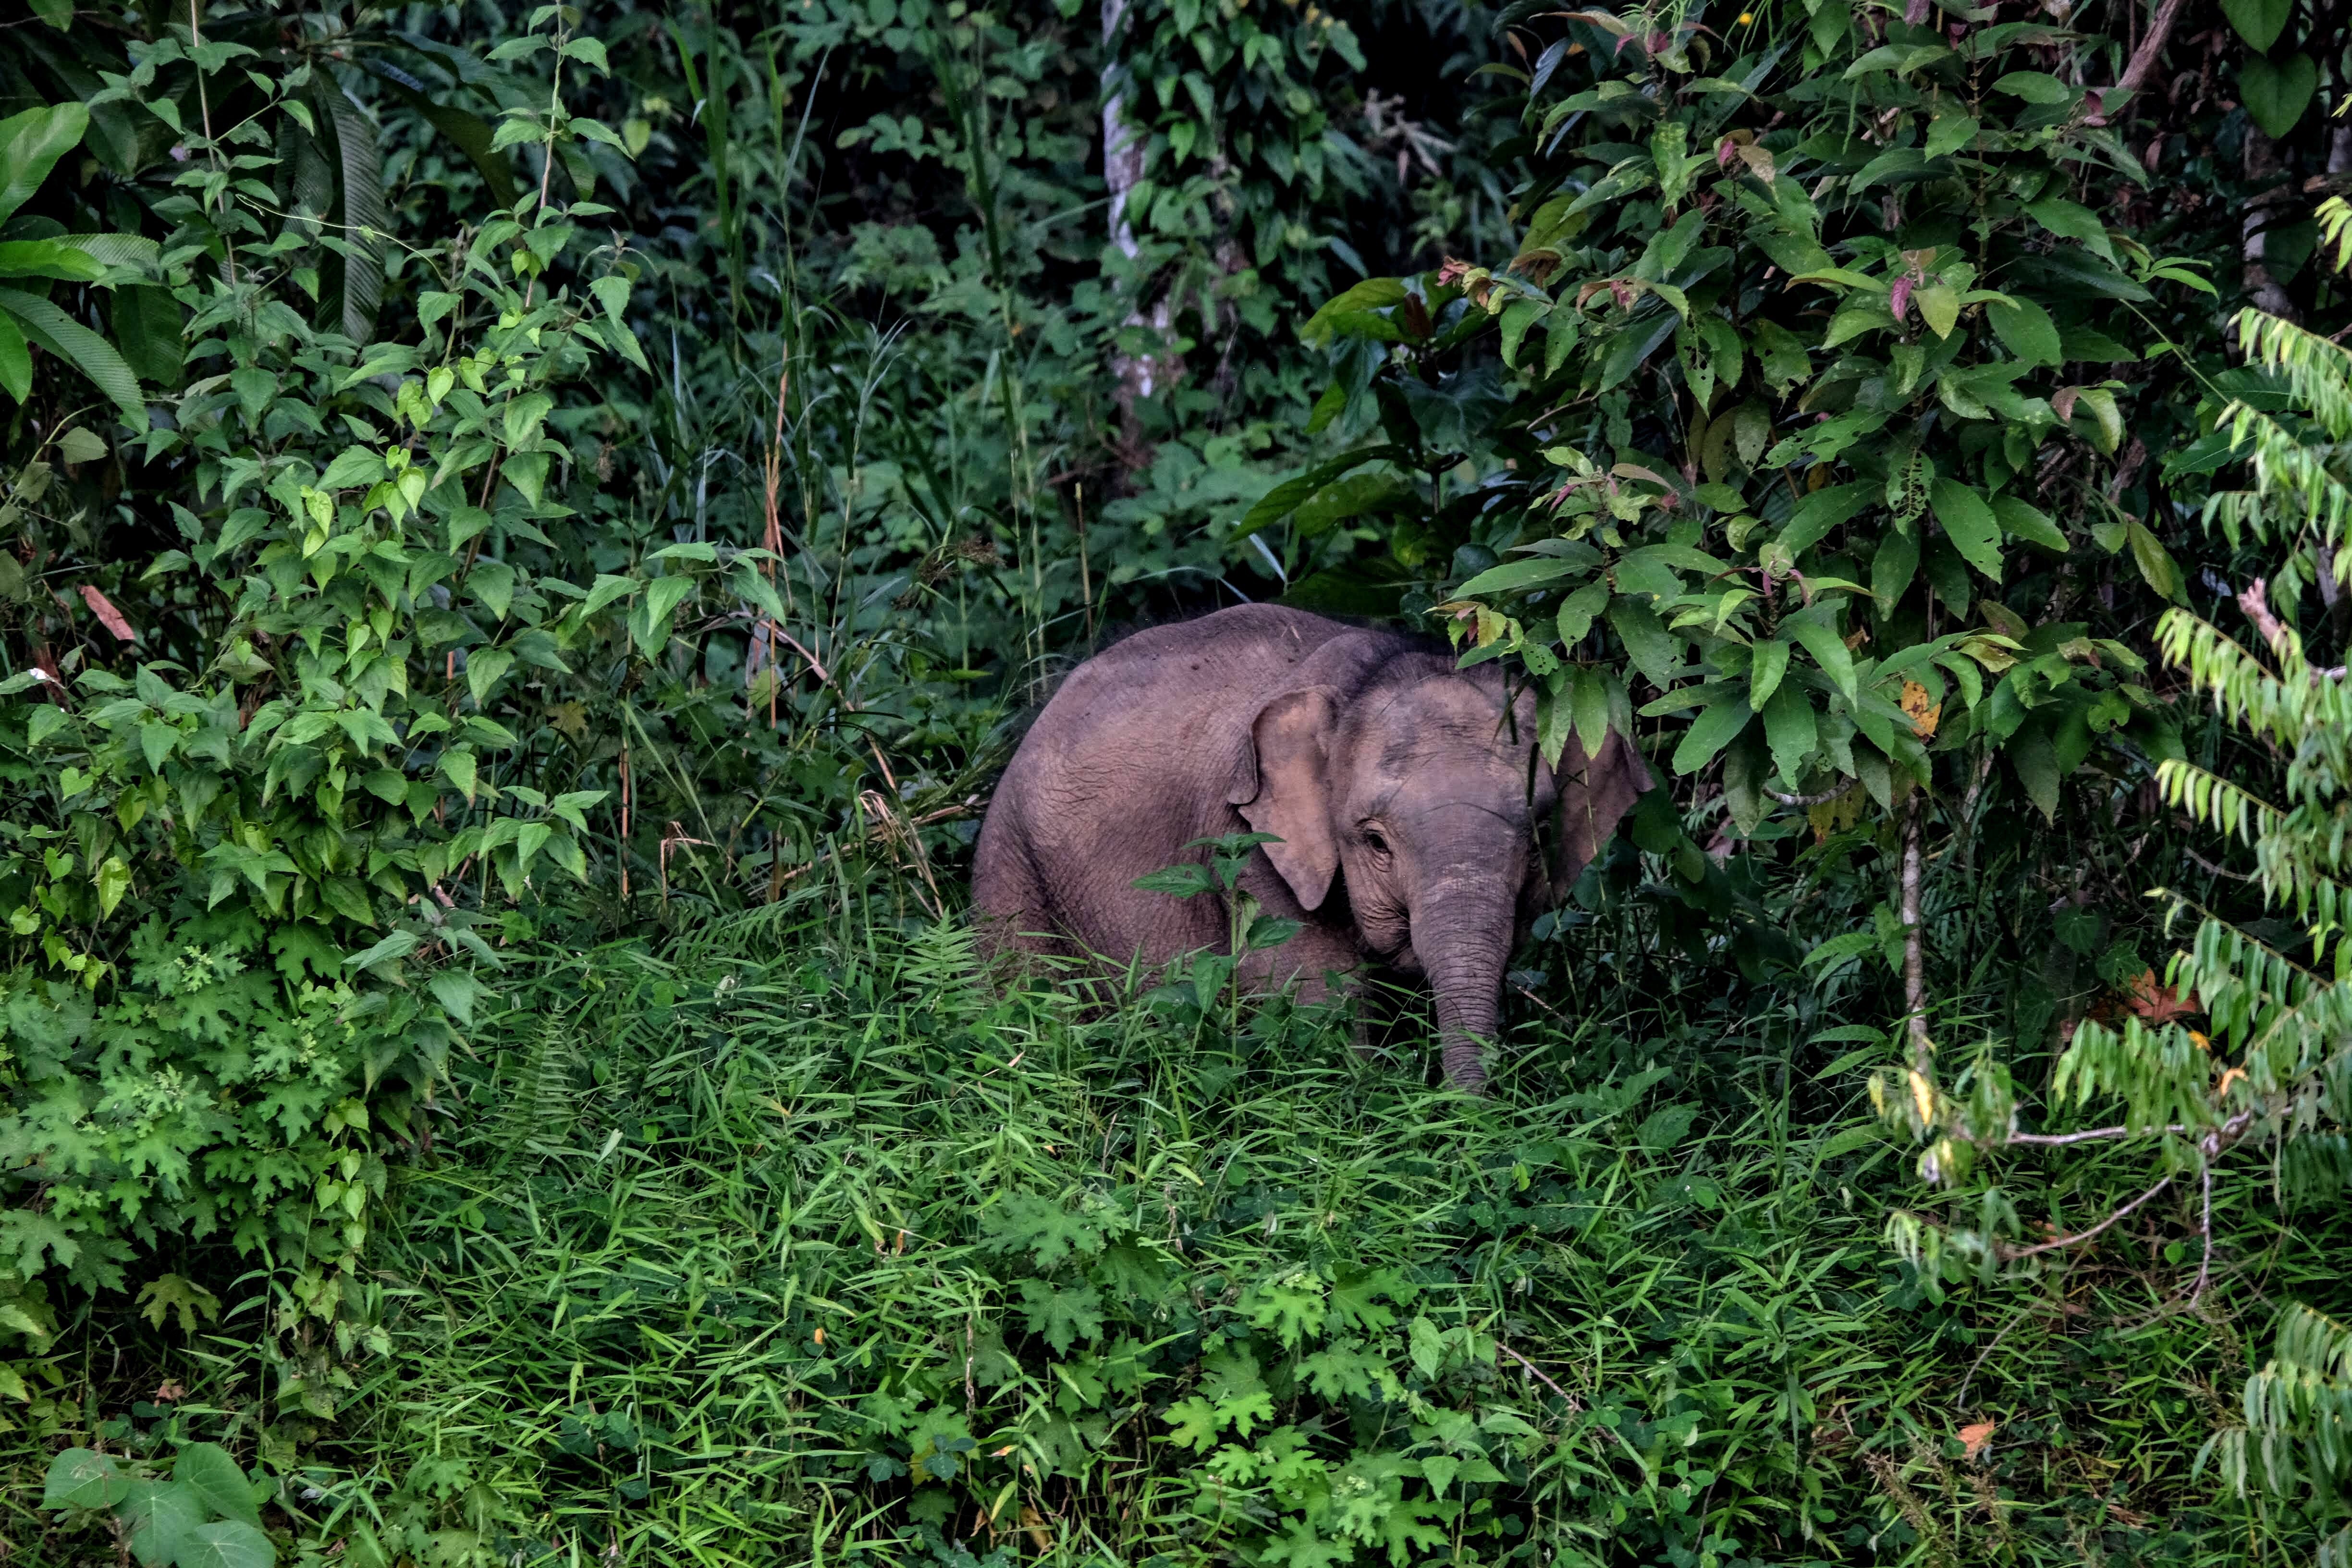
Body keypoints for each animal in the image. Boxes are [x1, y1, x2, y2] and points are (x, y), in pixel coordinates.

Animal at [973, 606, 1655, 1090]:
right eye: (1374, 842)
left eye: (1538, 835)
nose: (1466, 1116)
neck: (1382, 668)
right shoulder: (1248, 843)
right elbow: (1319, 1006)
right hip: (1012, 868)